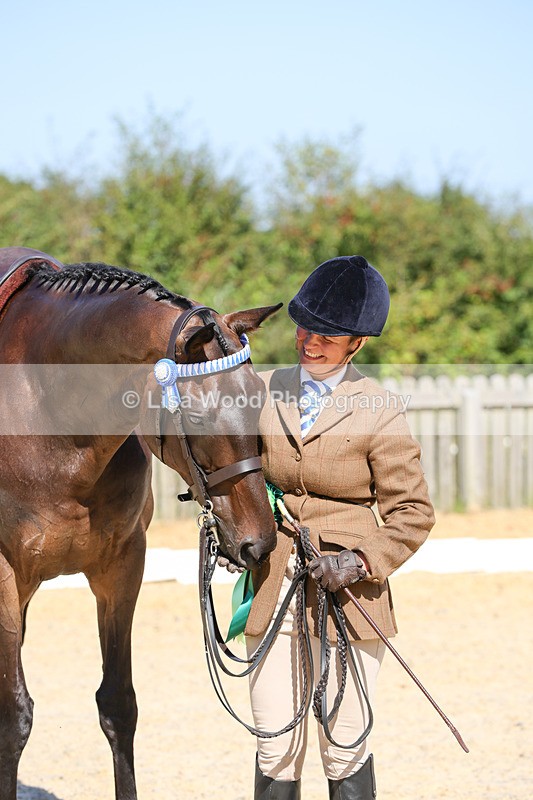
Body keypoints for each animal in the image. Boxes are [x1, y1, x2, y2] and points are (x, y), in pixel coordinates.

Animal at [0, 246, 280, 800]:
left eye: (258, 400)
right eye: (199, 415)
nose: (259, 542)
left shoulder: (122, 567)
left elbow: (118, 705)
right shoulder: (3, 575)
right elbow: (14, 717)